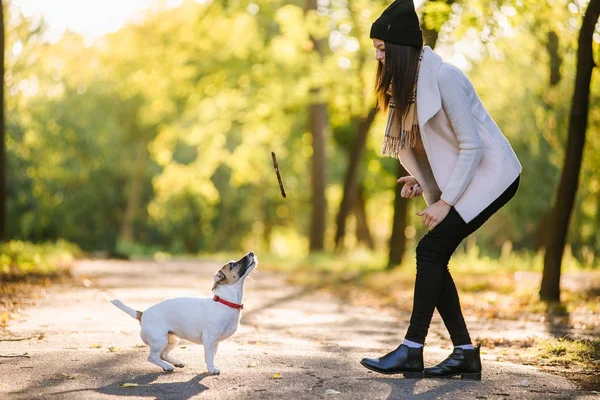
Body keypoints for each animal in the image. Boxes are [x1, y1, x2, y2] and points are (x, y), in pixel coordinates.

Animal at [111, 252, 256, 374]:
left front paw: (211, 366)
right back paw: (166, 366)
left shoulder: (215, 342)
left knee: (163, 354)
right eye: (232, 265)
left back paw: (177, 363)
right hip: (159, 340)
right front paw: (211, 369)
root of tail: (142, 314)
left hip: (173, 340)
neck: (225, 302)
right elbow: (209, 356)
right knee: (152, 357)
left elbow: (211, 355)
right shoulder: (209, 338)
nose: (251, 253)